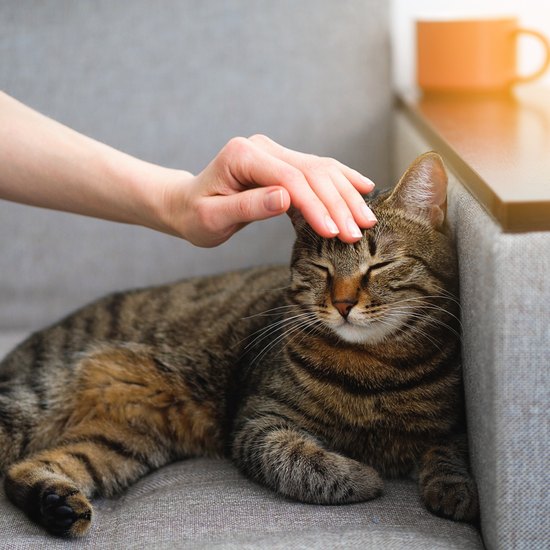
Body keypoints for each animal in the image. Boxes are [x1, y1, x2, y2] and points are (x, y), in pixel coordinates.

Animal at [0, 153, 478, 536]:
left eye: (380, 265)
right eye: (321, 268)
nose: (342, 304)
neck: (375, 370)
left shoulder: (455, 425)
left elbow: (452, 450)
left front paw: (456, 490)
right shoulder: (258, 421)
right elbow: (301, 460)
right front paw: (363, 475)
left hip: (124, 440)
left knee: (29, 468)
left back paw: (58, 506)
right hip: (36, 399)